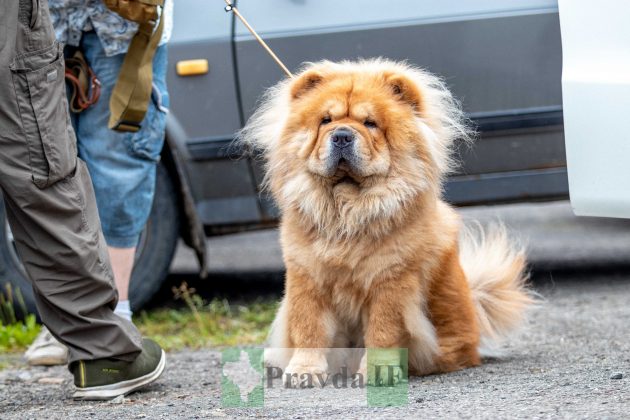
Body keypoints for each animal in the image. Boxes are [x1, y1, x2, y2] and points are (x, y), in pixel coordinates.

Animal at [242, 59, 532, 384]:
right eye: (325, 120)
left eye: (370, 123)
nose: (341, 135)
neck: (346, 209)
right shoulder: (307, 276)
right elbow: (309, 328)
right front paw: (304, 371)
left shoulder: (391, 281)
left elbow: (382, 330)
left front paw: (376, 372)